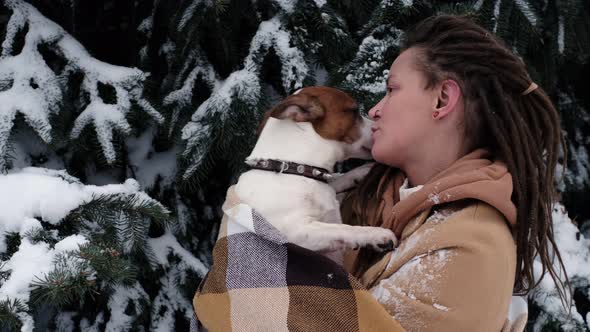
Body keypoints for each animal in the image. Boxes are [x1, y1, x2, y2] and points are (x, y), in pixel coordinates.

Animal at [234, 86, 396, 262]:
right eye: (355, 111)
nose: (377, 126)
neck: (291, 168)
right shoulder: (296, 233)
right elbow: (341, 228)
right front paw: (375, 234)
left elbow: (335, 182)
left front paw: (359, 172)